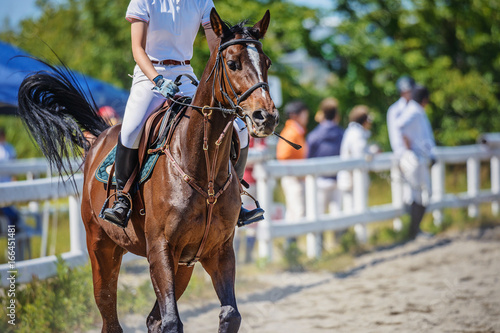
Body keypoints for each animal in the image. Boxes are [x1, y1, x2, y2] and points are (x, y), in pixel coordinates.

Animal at [16, 9, 278, 330]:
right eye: (232, 64)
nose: (265, 117)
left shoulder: (218, 251)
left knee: (152, 319)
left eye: (266, 63)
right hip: (102, 247)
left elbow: (230, 315)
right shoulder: (160, 250)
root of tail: (99, 137)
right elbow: (172, 321)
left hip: (183, 265)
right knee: (109, 315)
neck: (202, 169)